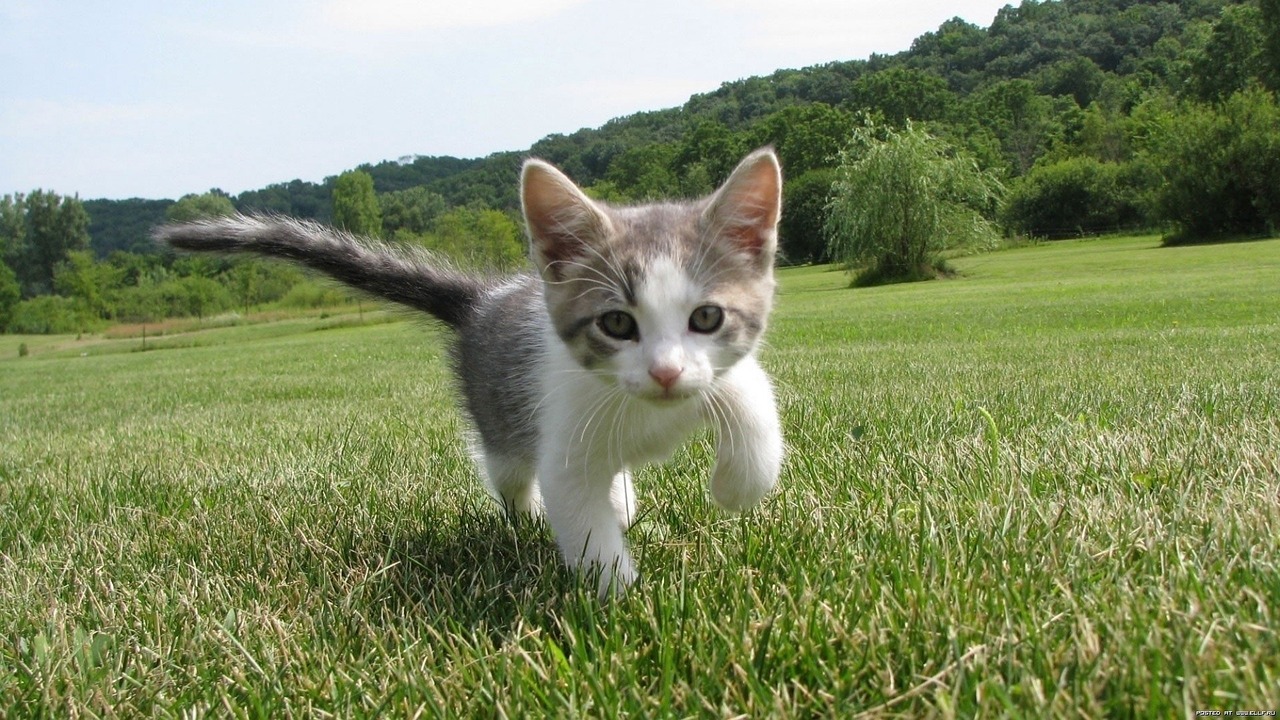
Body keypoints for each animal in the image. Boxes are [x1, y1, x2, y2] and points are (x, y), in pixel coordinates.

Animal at [156, 147, 783, 594]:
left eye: (706, 317)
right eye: (616, 324)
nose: (665, 373)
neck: (650, 412)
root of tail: (482, 299)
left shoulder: (724, 372)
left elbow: (753, 404)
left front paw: (736, 487)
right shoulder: (563, 438)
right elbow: (580, 518)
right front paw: (620, 595)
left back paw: (624, 498)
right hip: (499, 427)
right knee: (509, 477)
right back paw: (534, 514)